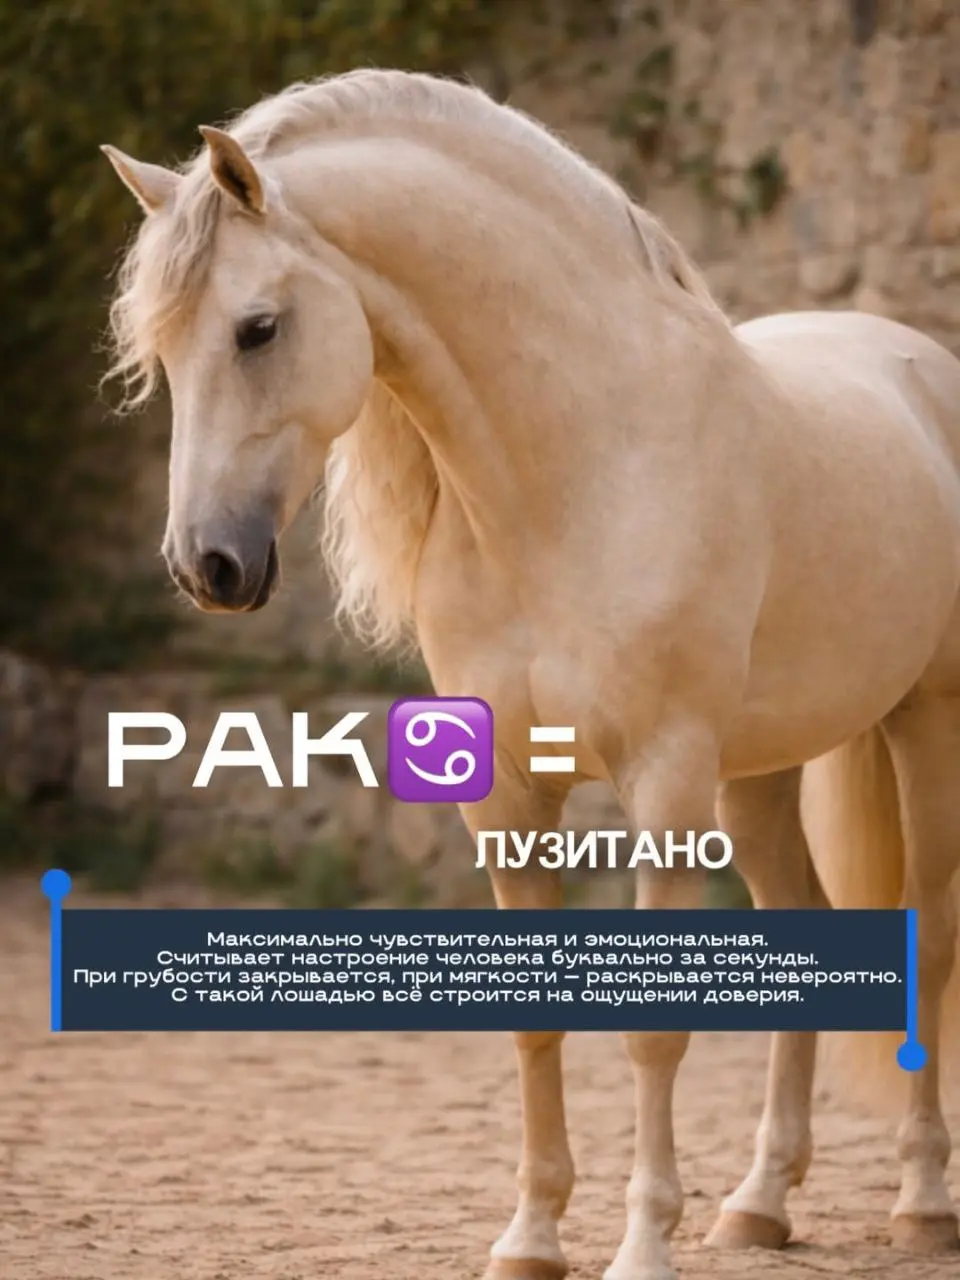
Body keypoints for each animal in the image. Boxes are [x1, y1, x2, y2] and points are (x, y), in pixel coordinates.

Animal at [101, 69, 960, 1280]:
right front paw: (532, 1237)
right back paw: (758, 1204)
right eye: (165, 352)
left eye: (257, 328)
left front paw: (642, 1246)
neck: (583, 469)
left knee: (929, 933)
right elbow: (533, 1013)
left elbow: (654, 1027)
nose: (205, 567)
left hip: (924, 725)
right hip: (759, 774)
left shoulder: (663, 781)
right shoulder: (508, 790)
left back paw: (922, 1199)